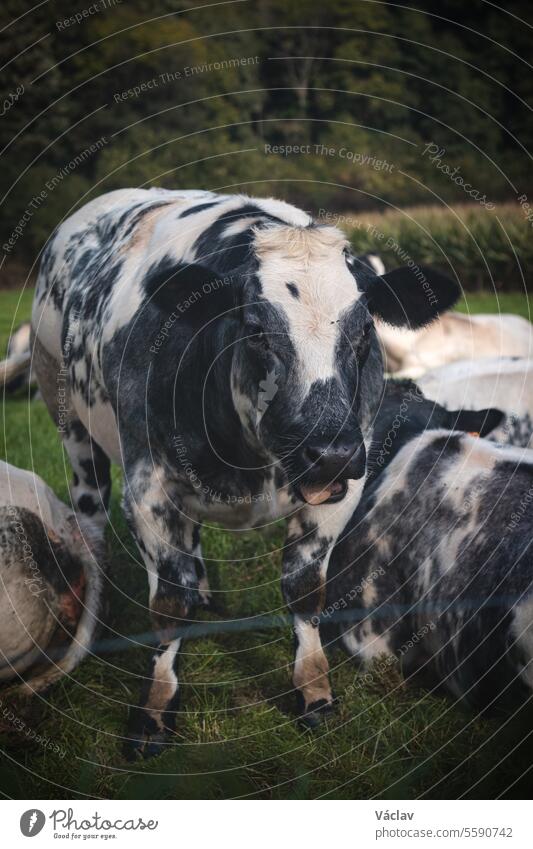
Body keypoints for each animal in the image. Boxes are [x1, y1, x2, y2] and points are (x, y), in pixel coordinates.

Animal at [31, 186, 460, 756]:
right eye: (256, 332)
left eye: (365, 331)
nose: (329, 451)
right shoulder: (147, 491)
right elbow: (169, 604)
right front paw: (153, 712)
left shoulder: (343, 486)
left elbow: (304, 588)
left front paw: (315, 694)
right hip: (68, 416)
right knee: (90, 513)